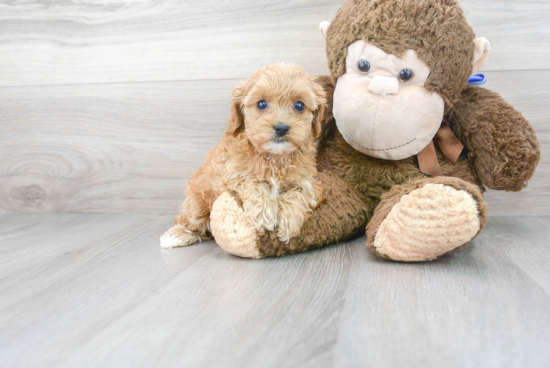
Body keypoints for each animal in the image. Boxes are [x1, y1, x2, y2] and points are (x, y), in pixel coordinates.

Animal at [162, 63, 328, 249]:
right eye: (261, 104)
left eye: (299, 105)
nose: (281, 128)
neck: (274, 157)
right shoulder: (230, 173)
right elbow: (251, 182)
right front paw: (265, 213)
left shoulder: (309, 182)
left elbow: (298, 193)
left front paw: (288, 221)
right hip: (197, 200)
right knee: (191, 220)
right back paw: (178, 234)